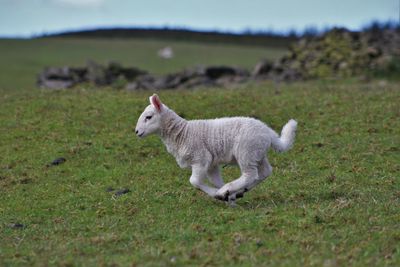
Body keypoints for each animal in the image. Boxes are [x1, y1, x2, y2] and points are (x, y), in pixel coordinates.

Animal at [134, 94, 296, 203]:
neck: (182, 133)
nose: (136, 132)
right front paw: (228, 195)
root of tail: (268, 132)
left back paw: (230, 189)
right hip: (257, 153)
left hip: (246, 152)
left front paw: (219, 194)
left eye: (148, 117)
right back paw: (239, 190)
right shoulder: (211, 164)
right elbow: (216, 180)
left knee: (250, 174)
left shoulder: (200, 158)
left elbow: (194, 181)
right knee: (265, 172)